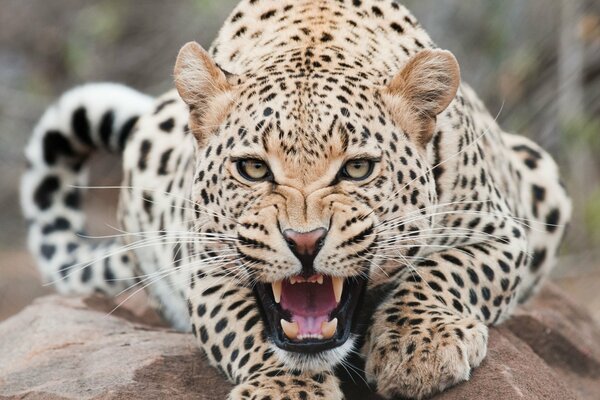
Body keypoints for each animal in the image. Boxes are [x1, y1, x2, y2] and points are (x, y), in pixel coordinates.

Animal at [19, 1, 572, 398]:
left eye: (357, 169)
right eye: (253, 168)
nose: (305, 241)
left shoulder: (501, 232)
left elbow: (446, 271)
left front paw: (418, 348)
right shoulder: (205, 264)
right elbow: (245, 327)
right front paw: (287, 389)